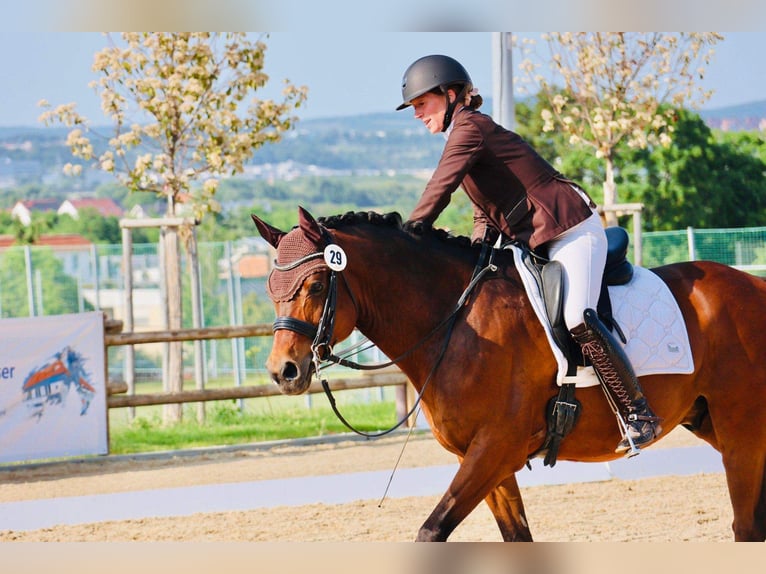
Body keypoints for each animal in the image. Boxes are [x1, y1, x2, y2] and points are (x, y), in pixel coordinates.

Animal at [252, 208, 766, 544]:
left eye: (316, 285)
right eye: (271, 288)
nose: (284, 372)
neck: (457, 320)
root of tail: (754, 284)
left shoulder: (496, 448)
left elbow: (430, 531)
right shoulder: (484, 459)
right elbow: (517, 538)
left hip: (740, 433)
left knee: (745, 528)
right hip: (710, 423)